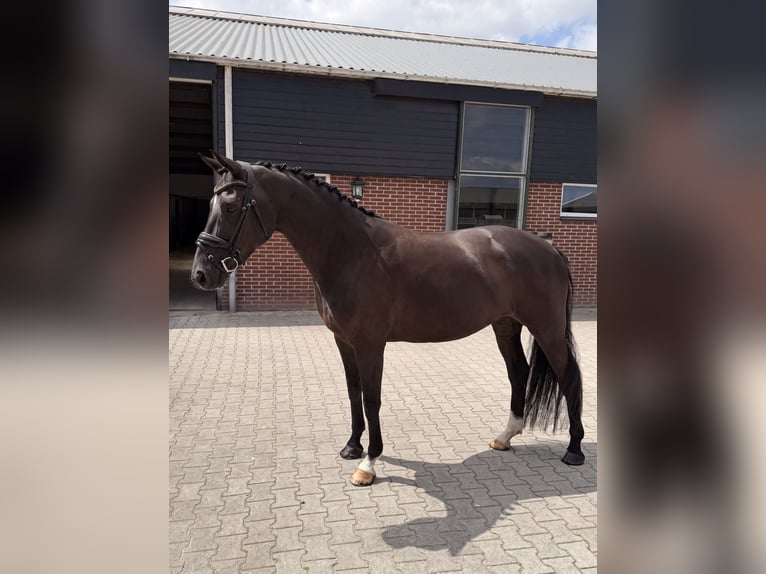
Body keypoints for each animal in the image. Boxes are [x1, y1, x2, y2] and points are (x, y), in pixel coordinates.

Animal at [191, 151, 585, 487]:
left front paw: (368, 463)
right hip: (505, 324)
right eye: (210, 204)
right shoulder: (343, 340)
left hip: (547, 328)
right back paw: (505, 436)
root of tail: (549, 247)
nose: (200, 275)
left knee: (568, 377)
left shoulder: (370, 344)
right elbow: (353, 392)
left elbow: (371, 398)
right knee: (518, 371)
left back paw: (574, 450)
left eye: (230, 206)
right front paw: (352, 447)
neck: (352, 252)